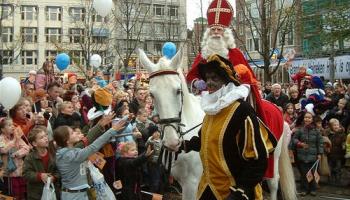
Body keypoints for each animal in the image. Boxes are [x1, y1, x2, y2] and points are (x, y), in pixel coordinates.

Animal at [138, 49, 296, 200]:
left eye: (178, 90)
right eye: (152, 95)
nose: (171, 142)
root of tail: (276, 107)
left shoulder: (192, 183)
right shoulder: (184, 182)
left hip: (274, 159)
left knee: (273, 183)